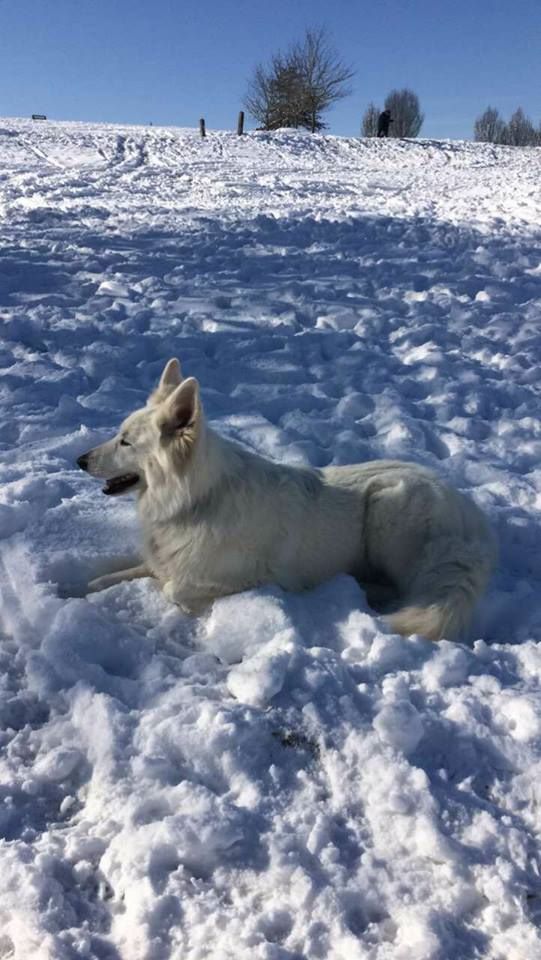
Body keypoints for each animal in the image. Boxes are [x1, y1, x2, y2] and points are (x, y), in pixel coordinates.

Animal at [77, 358, 496, 641]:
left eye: (125, 442)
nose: (79, 460)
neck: (196, 500)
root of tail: (469, 516)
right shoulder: (161, 560)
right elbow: (110, 577)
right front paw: (81, 588)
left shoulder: (244, 577)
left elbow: (172, 588)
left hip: (387, 509)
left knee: (406, 586)